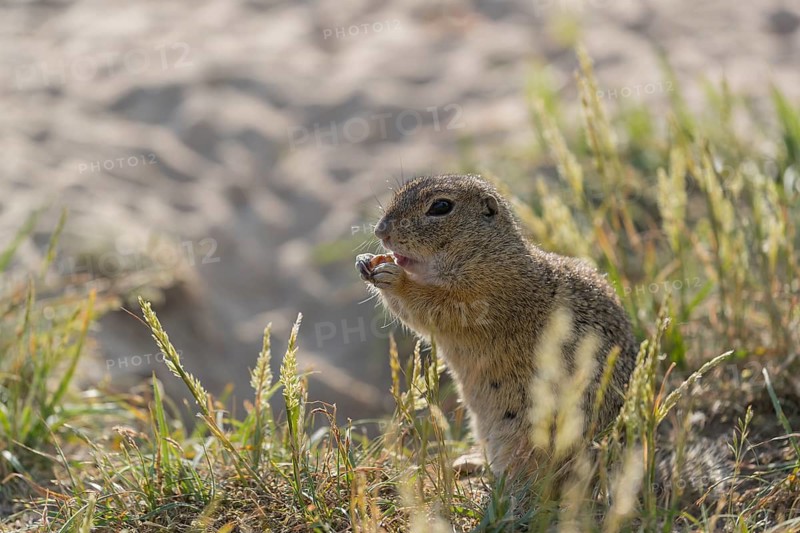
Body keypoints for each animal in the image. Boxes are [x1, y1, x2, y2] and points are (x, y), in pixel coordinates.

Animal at [355, 174, 638, 481]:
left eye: (441, 206)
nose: (381, 231)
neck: (488, 253)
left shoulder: (484, 295)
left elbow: (436, 307)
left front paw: (395, 278)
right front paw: (366, 262)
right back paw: (469, 461)